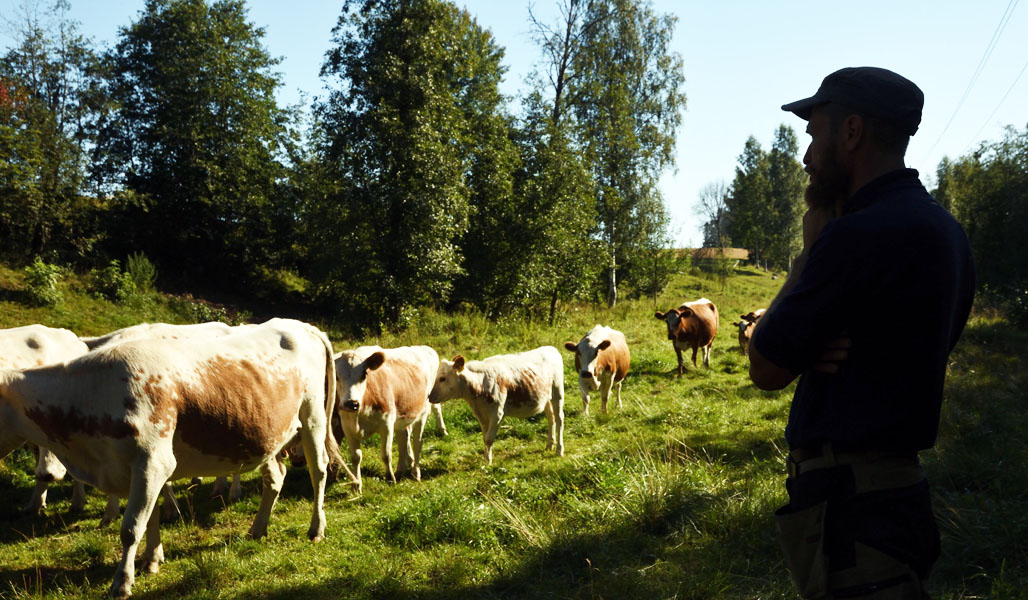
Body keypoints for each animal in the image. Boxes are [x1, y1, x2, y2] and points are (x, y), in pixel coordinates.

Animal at [0, 316, 349, 595]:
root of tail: (301, 324)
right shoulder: (139, 468)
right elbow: (149, 517)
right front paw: (151, 559)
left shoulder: (153, 462)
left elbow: (131, 528)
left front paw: (121, 583)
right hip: (269, 434)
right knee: (276, 477)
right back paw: (258, 528)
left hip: (313, 416)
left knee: (319, 470)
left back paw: (316, 529)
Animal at [333, 345, 437, 495]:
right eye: (336, 376)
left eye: (364, 374)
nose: (352, 403)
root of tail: (423, 348)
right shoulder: (347, 427)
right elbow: (356, 457)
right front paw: (356, 486)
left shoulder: (387, 424)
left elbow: (386, 454)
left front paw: (390, 478)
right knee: (403, 437)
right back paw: (400, 471)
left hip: (422, 412)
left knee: (417, 442)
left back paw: (415, 472)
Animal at [429, 347, 567, 464]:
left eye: (442, 378)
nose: (429, 397)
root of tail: (550, 349)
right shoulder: (481, 415)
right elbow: (485, 437)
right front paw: (486, 458)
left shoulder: (497, 414)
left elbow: (489, 438)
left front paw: (488, 461)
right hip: (546, 398)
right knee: (551, 418)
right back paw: (550, 444)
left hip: (558, 392)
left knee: (559, 419)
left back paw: (559, 449)